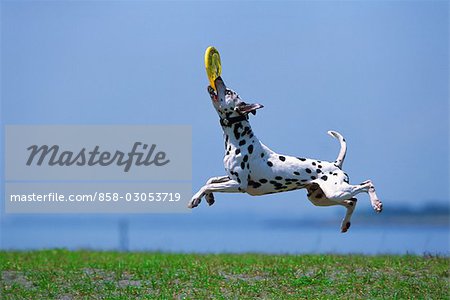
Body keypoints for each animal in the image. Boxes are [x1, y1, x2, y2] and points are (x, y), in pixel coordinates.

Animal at [188, 77, 382, 232]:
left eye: (228, 91)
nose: (218, 78)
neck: (239, 141)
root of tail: (335, 164)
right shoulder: (229, 178)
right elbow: (210, 181)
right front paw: (208, 198)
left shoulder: (238, 185)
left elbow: (207, 186)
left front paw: (195, 199)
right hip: (321, 198)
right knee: (353, 201)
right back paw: (344, 224)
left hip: (336, 192)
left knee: (367, 184)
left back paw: (376, 203)